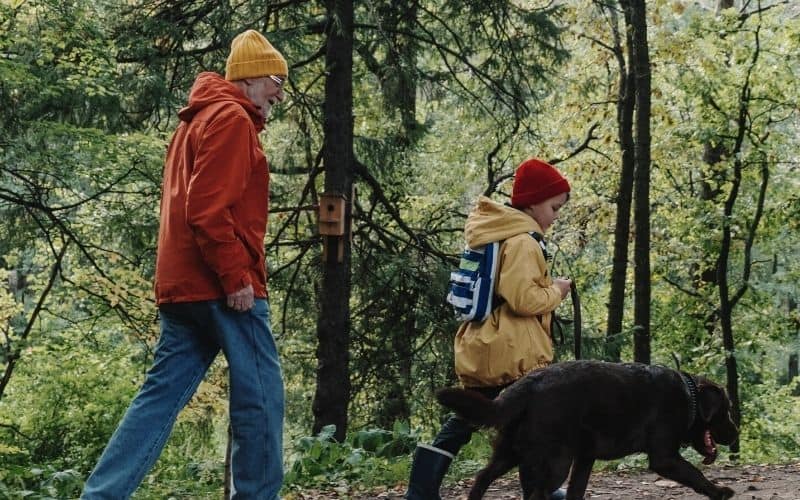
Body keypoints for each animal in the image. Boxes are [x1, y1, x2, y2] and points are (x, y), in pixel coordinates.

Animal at [438, 362, 736, 500]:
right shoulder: (665, 458)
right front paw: (719, 490)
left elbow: (576, 491)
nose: (735, 435)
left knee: (482, 477)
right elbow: (696, 474)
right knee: (535, 494)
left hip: (510, 452)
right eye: (727, 410)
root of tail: (528, 383)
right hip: (555, 462)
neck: (689, 396)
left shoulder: (585, 458)